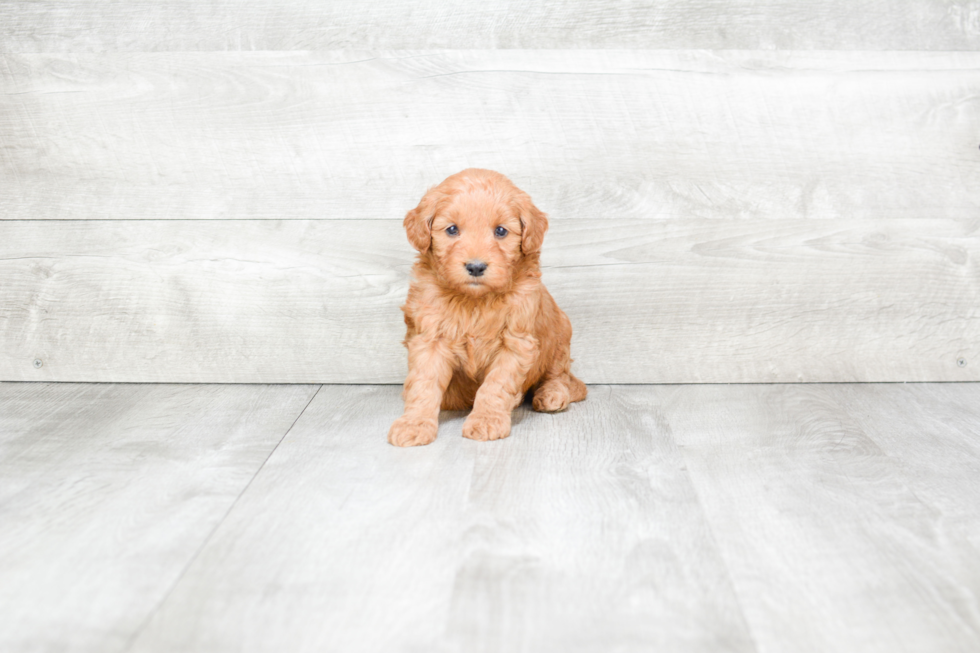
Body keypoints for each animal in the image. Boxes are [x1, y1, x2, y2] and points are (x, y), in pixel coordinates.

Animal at [386, 167, 584, 448]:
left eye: (500, 231)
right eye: (452, 229)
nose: (476, 267)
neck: (474, 301)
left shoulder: (516, 343)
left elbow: (496, 385)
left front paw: (486, 420)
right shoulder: (430, 339)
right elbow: (424, 383)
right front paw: (414, 424)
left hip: (560, 336)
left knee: (560, 375)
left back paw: (552, 394)